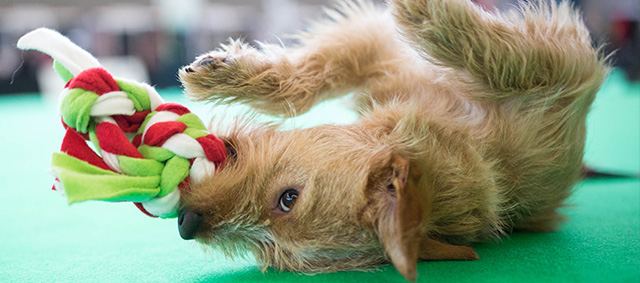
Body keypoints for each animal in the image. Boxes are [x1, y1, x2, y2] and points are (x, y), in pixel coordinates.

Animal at [178, 0, 608, 282]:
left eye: (288, 199)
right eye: (267, 249)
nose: (185, 223)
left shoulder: (565, 73)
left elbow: (505, 61)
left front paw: (424, 10)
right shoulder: (376, 55)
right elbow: (306, 84)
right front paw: (226, 74)